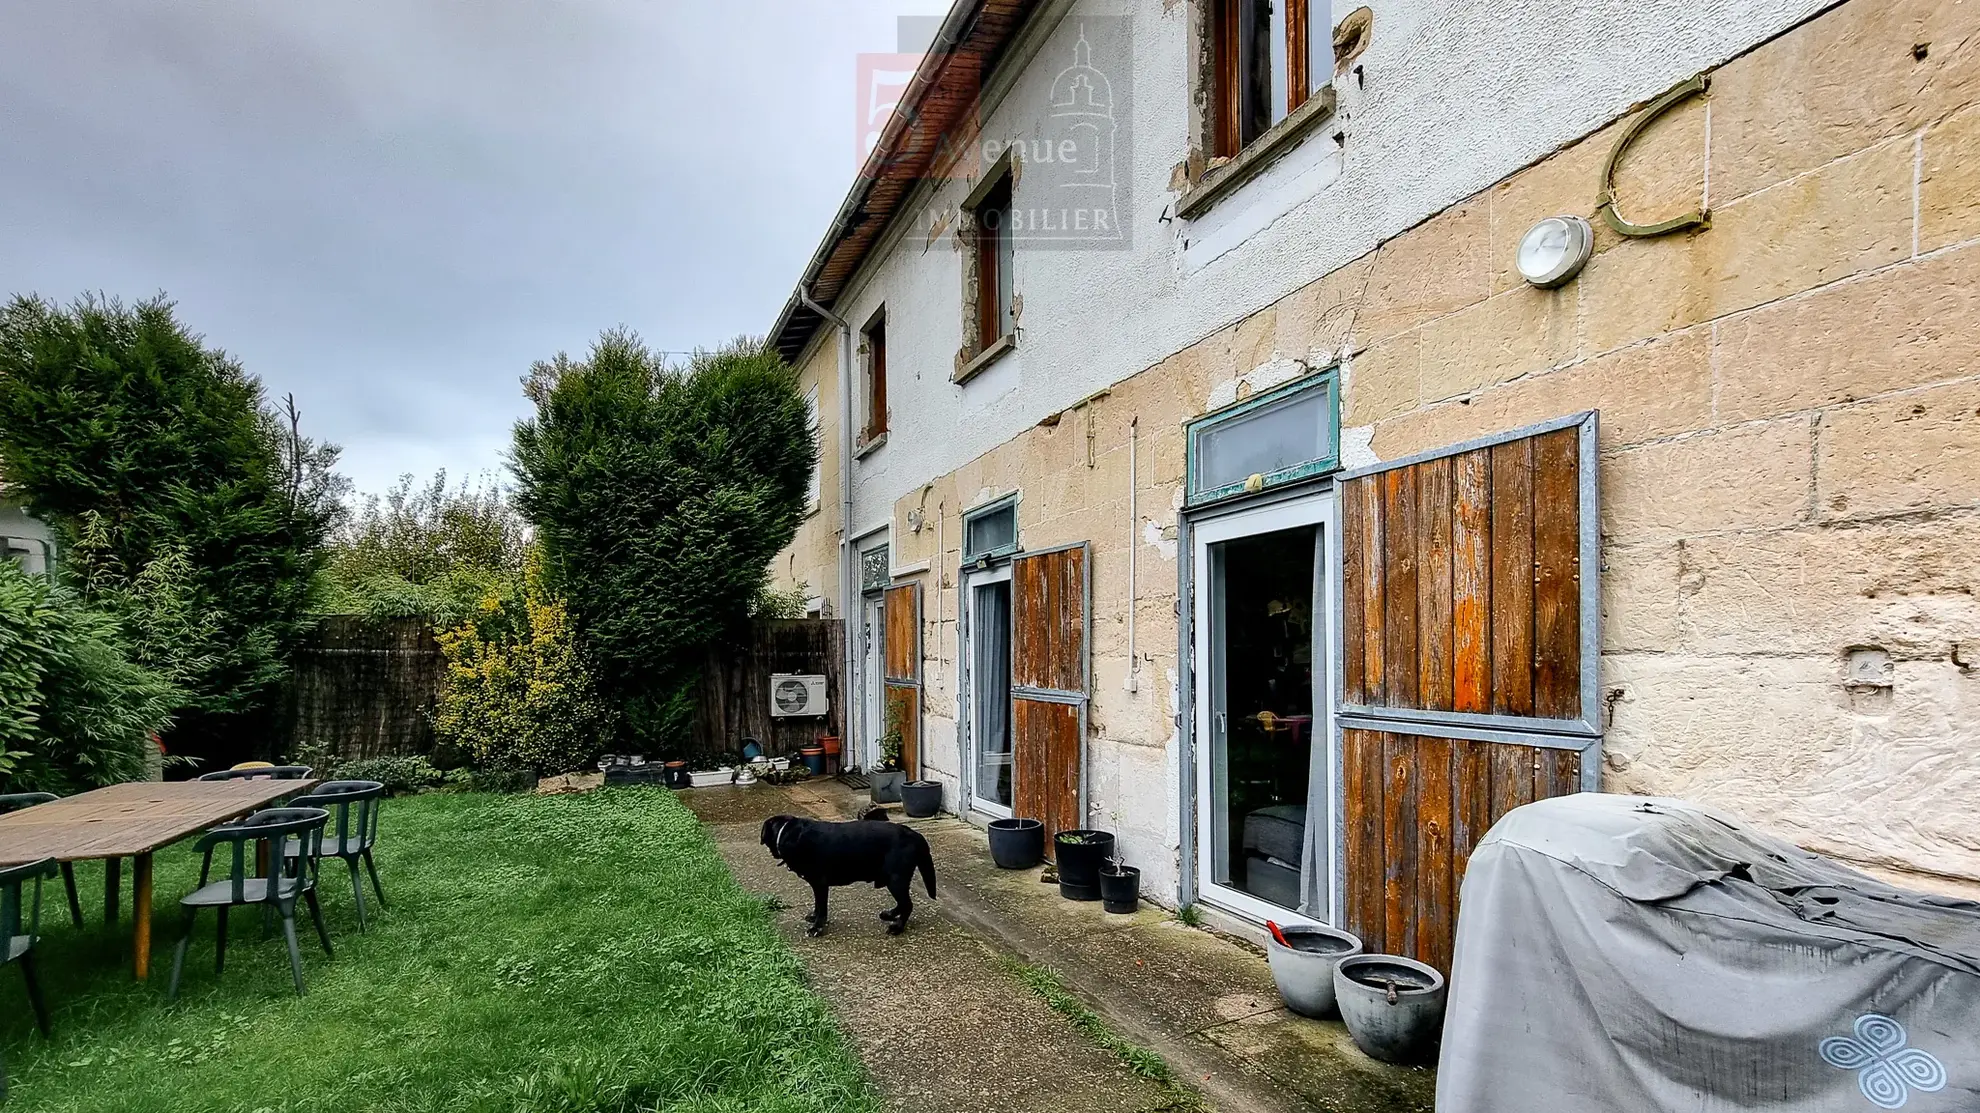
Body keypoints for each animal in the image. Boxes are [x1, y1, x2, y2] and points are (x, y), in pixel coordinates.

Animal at [760, 811, 938, 930]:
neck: (791, 834)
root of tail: (915, 835)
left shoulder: (820, 883)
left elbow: (822, 907)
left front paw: (817, 927)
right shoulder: (817, 885)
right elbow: (817, 905)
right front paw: (814, 918)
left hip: (896, 878)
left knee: (907, 904)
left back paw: (898, 927)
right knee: (903, 903)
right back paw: (890, 915)